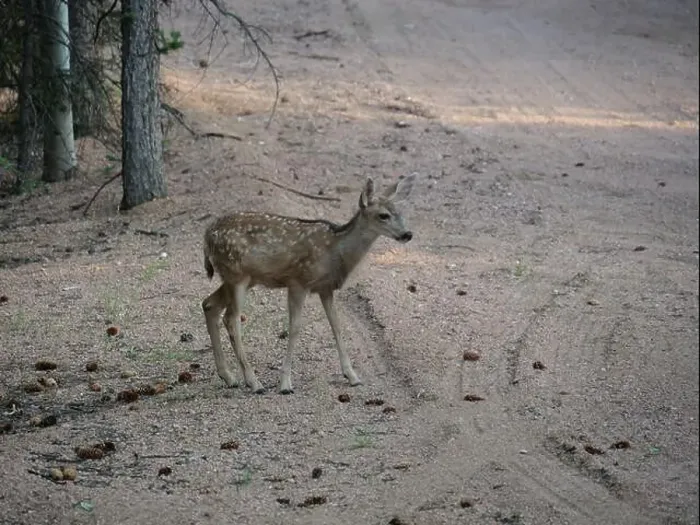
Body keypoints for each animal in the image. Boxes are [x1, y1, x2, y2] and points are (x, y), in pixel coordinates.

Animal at [201, 173, 416, 394]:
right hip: (237, 275)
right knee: (231, 319)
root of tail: (207, 234)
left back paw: (229, 377)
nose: (407, 234)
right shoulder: (298, 281)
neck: (335, 251)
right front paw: (285, 384)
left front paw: (352, 376)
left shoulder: (325, 287)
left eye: (401, 212)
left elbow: (336, 326)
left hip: (239, 278)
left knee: (209, 305)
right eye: (383, 215)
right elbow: (295, 327)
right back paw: (254, 382)